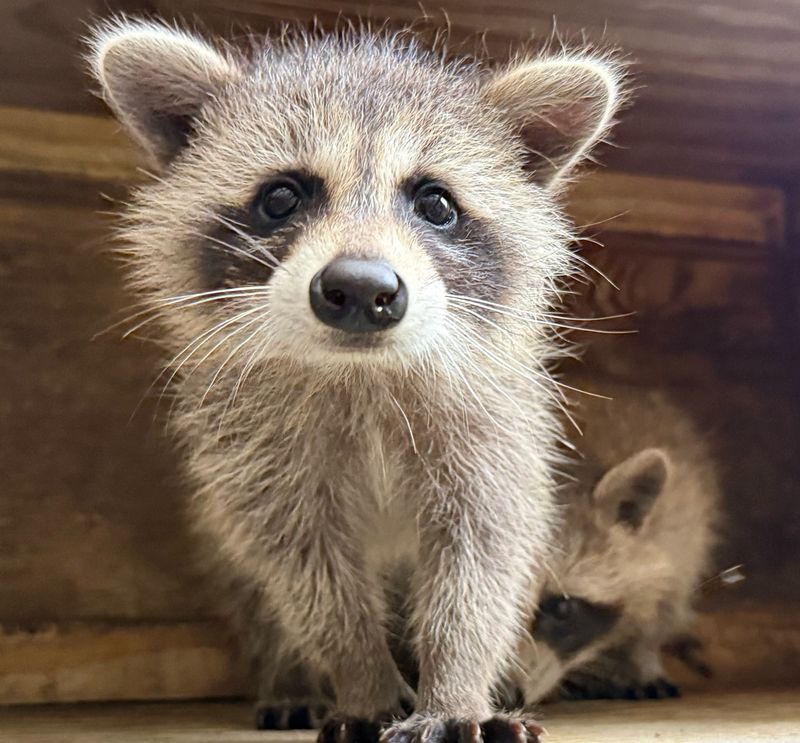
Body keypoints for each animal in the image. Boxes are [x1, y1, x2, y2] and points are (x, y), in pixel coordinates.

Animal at [87, 18, 624, 743]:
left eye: (434, 202)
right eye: (281, 196)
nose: (363, 288)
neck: (362, 371)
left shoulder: (493, 435)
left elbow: (480, 561)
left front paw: (455, 687)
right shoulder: (254, 458)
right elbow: (309, 574)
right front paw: (362, 678)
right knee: (254, 589)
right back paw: (289, 675)